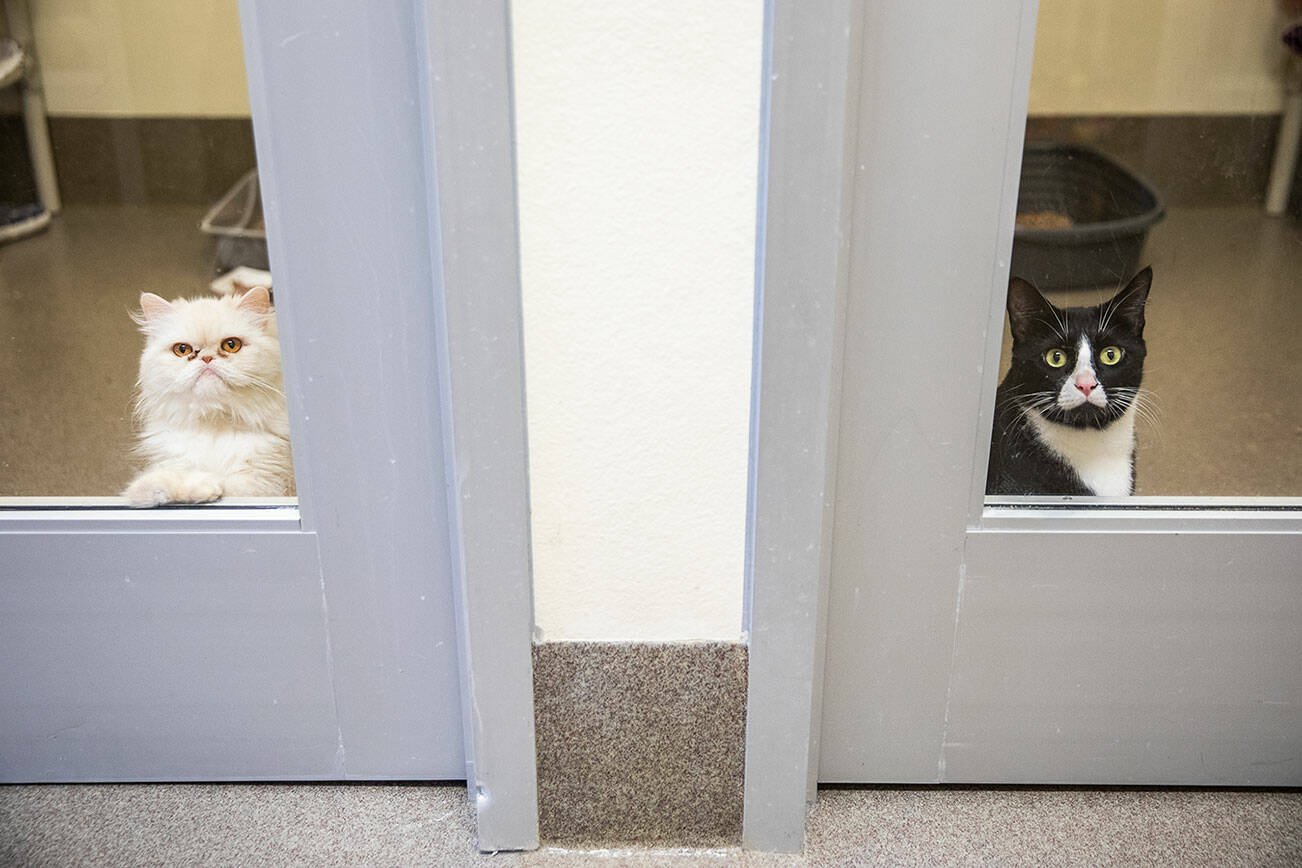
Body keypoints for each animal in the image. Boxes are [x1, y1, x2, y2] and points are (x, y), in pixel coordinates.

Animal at [122, 288, 295, 510]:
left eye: (231, 345)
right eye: (182, 350)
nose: (206, 357)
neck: (214, 423)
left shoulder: (263, 486)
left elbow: (227, 486)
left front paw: (207, 487)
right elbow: (149, 485)